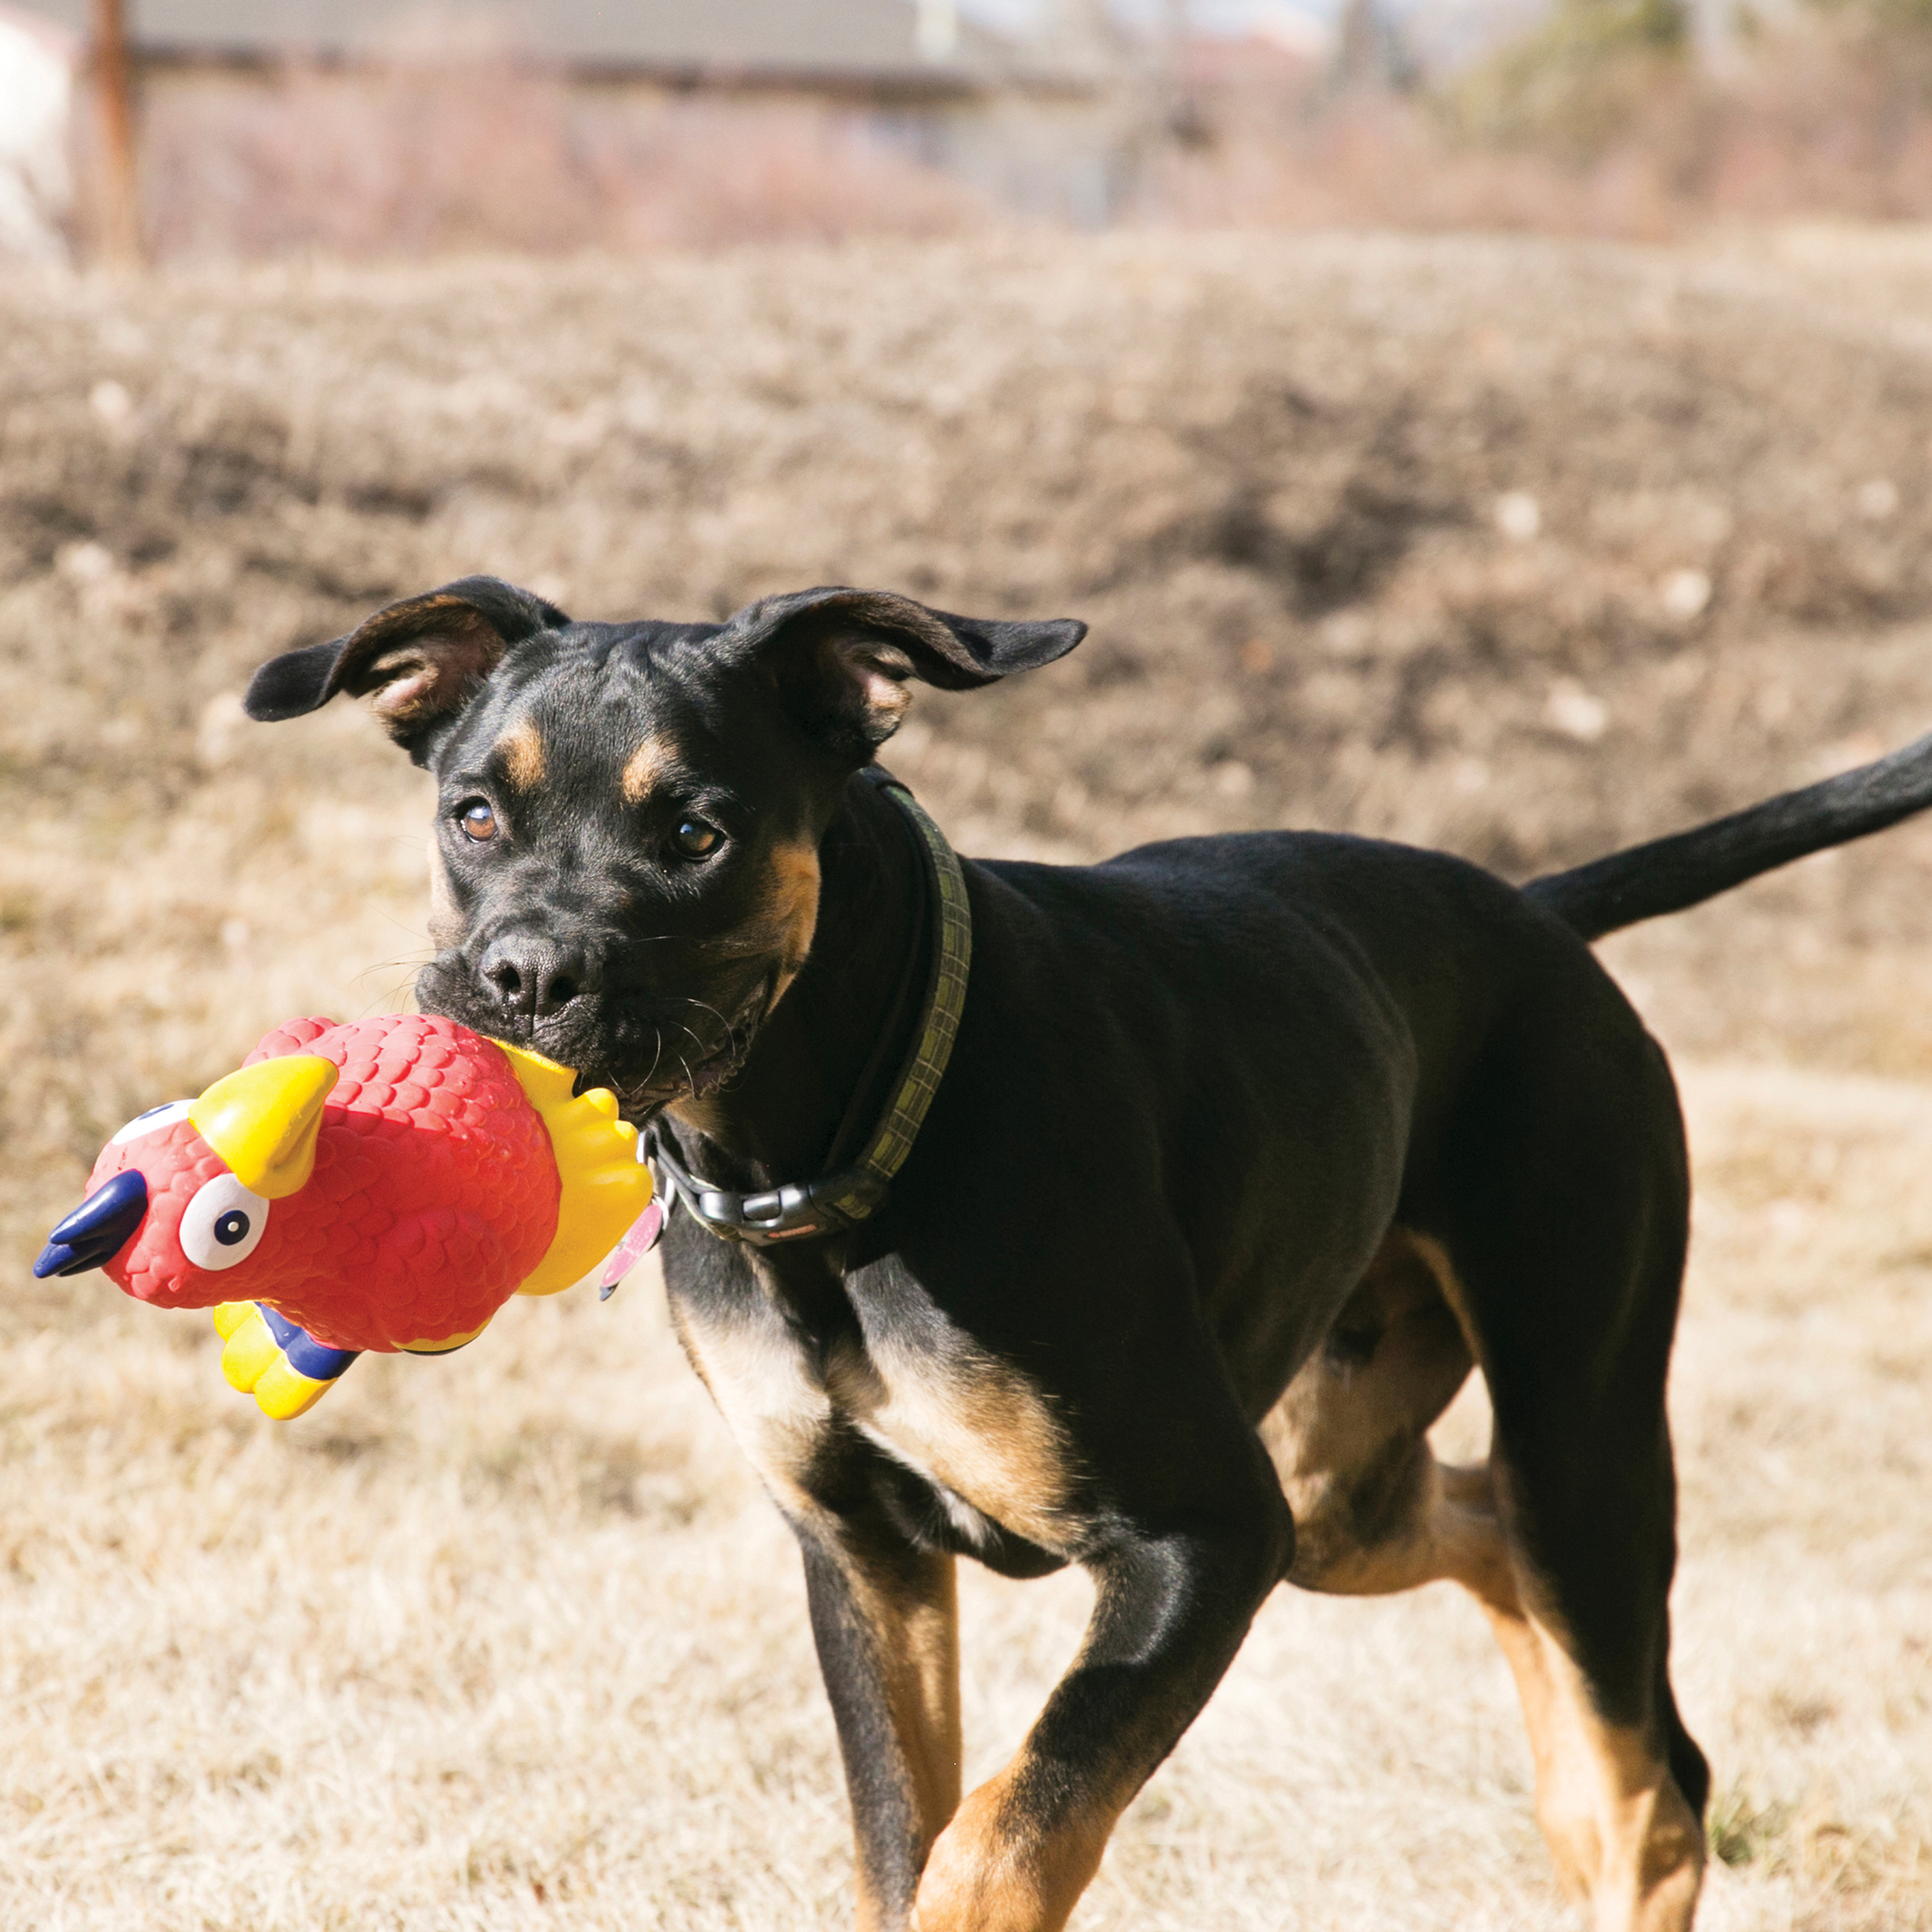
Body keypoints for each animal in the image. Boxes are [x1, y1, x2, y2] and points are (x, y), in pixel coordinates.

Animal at [245, 580, 1932, 1932]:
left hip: (1564, 1426)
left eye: (697, 829)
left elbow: (1003, 1834)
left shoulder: (1201, 1535)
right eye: (475, 811)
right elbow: (898, 1837)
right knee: (1481, 1541)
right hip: (1332, 1478)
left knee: (1650, 1780)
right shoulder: (863, 1556)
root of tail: (1536, 912)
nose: (521, 975)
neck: (840, 1147)